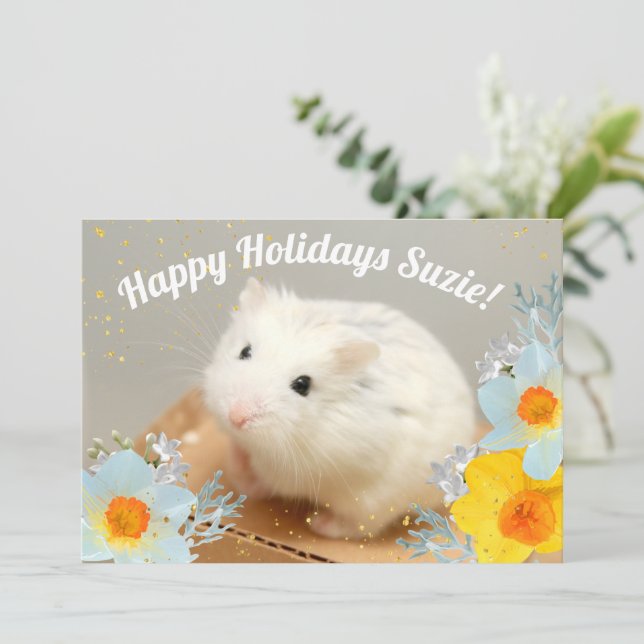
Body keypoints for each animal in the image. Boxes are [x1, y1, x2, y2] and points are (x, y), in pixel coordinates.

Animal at [203, 277, 474, 539]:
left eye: (302, 385)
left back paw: (318, 523)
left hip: (374, 501)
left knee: (360, 527)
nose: (236, 417)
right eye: (245, 351)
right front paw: (236, 454)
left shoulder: (295, 469)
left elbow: (266, 475)